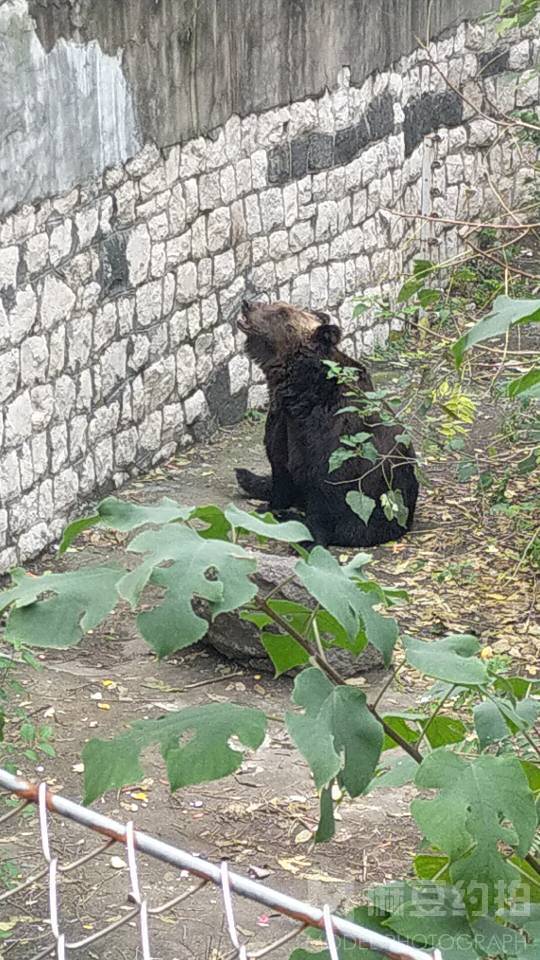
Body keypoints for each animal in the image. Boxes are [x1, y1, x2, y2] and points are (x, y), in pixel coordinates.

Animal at [235, 304, 418, 552]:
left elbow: (324, 490)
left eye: (282, 312)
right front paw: (270, 508)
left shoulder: (332, 438)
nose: (247, 304)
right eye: (274, 304)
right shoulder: (282, 423)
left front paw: (308, 539)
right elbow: (280, 466)